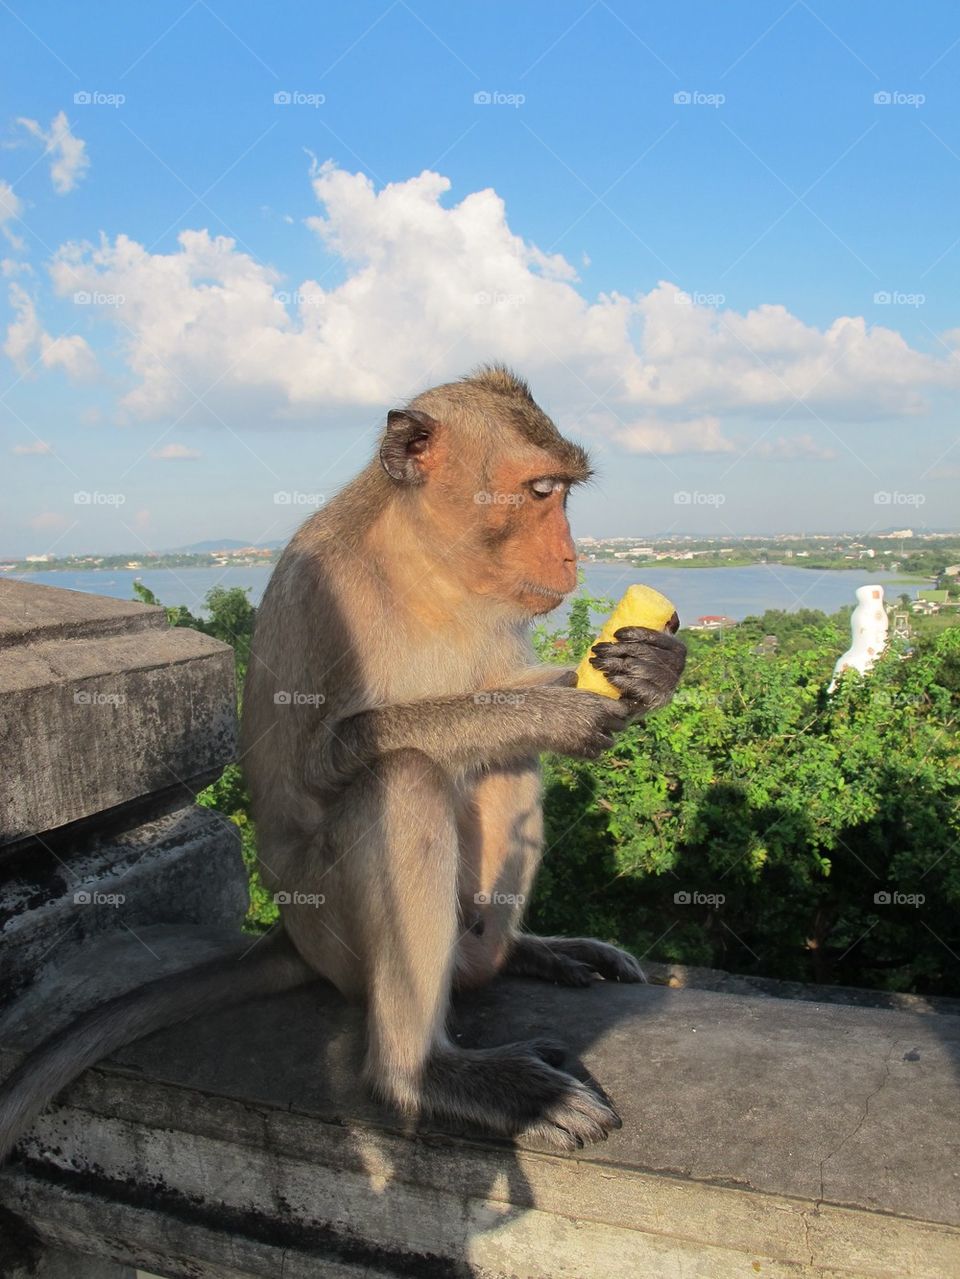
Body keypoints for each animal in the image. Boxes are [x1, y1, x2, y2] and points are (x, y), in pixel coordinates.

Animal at [0, 366, 685, 1160]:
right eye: (543, 490)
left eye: (566, 493)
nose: (572, 557)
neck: (425, 567)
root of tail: (290, 938)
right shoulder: (326, 593)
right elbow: (322, 760)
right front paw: (551, 713)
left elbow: (497, 696)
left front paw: (649, 672)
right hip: (330, 929)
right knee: (405, 779)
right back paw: (425, 1074)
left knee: (500, 767)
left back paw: (516, 955)